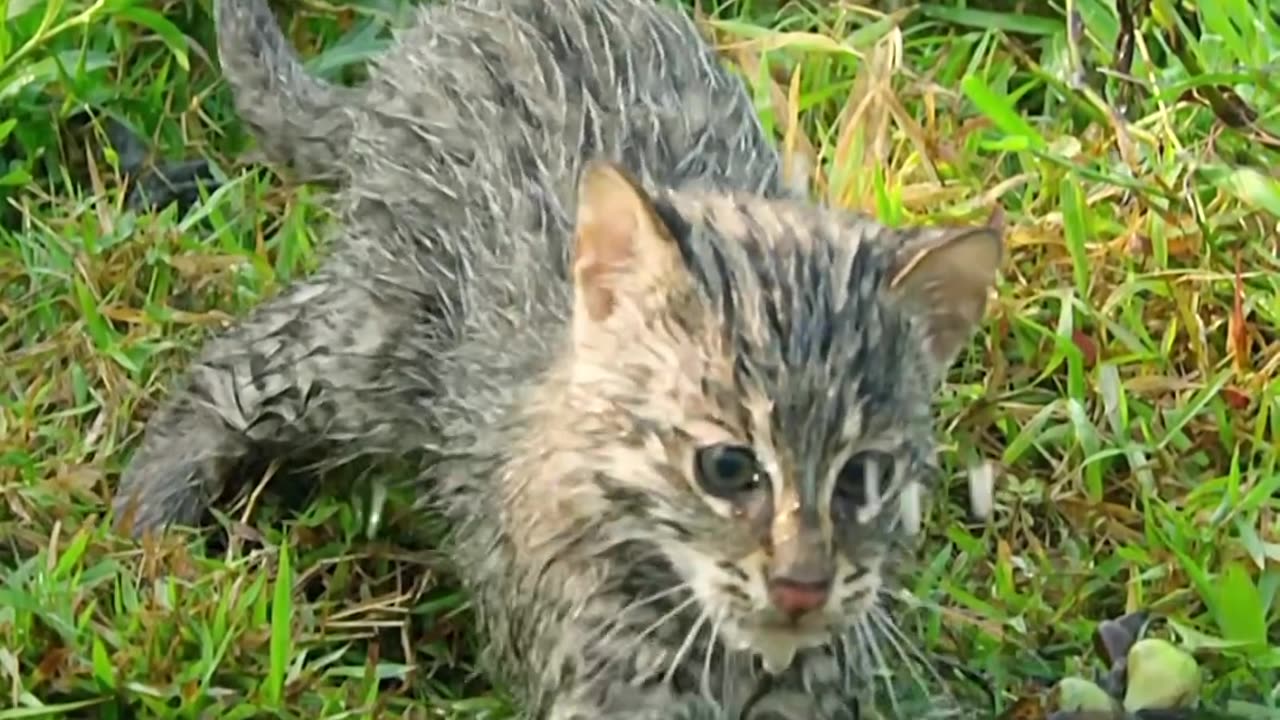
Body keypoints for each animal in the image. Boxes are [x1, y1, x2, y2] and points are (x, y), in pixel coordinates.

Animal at [112, 1, 998, 717]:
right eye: (726, 468)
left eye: (866, 477)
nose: (803, 589)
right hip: (374, 340)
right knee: (232, 367)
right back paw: (149, 532)